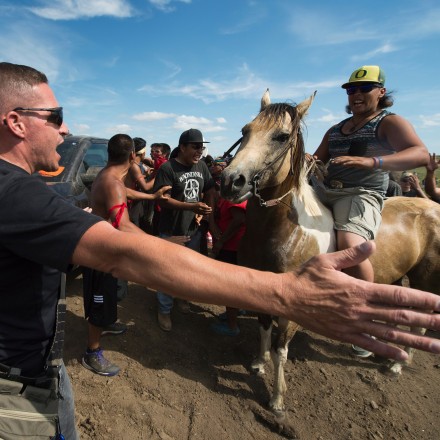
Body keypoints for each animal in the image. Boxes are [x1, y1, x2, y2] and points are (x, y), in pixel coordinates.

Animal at [220, 89, 440, 416]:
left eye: (281, 136)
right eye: (245, 131)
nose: (231, 181)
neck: (283, 231)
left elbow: (281, 351)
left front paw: (277, 398)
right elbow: (263, 329)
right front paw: (259, 362)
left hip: (425, 280)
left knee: (419, 323)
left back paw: (397, 365)